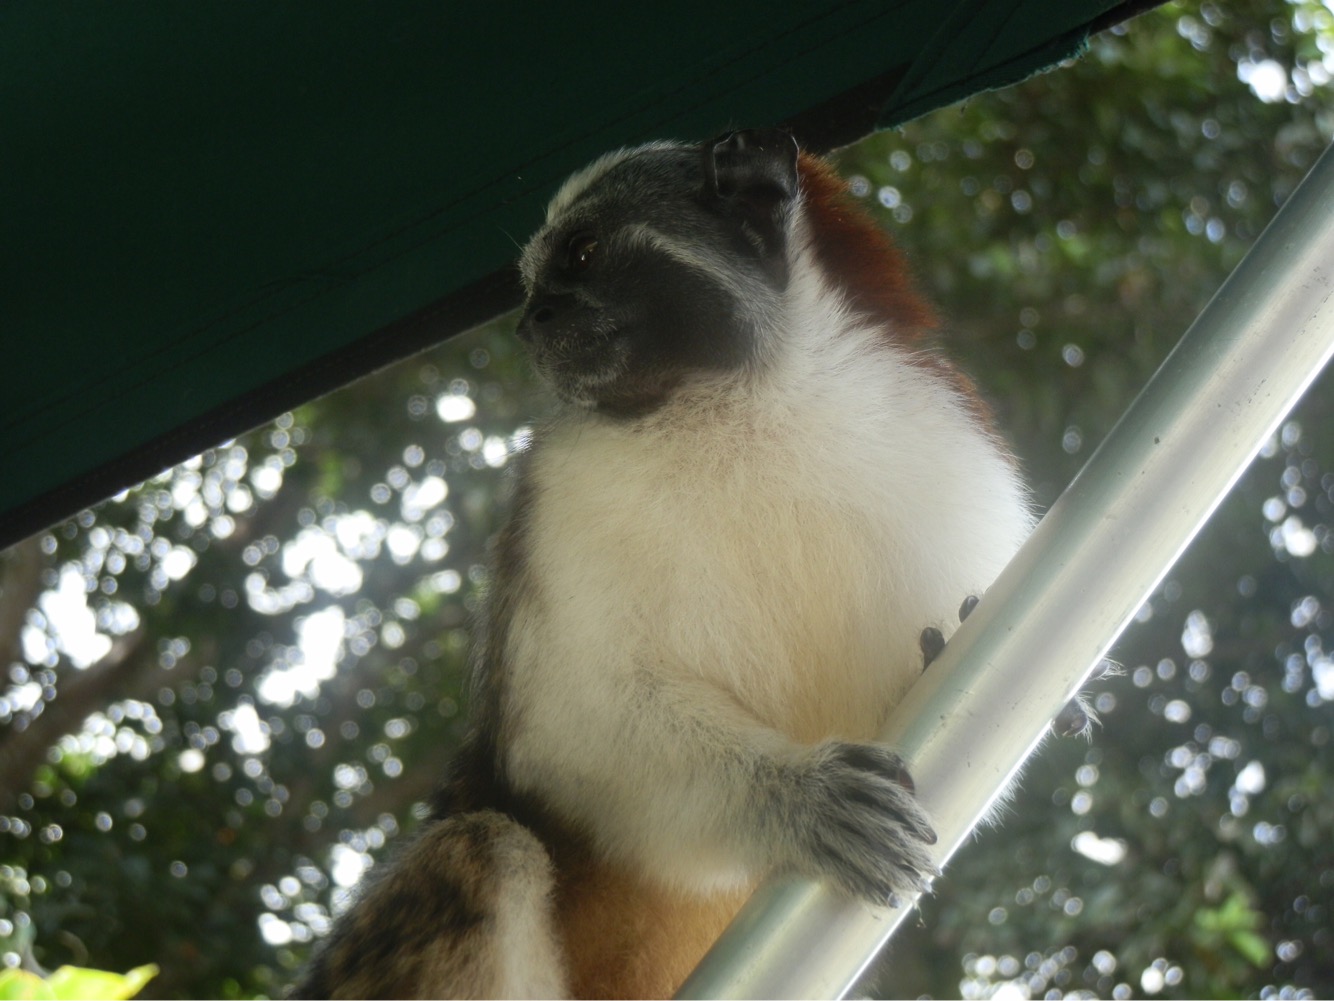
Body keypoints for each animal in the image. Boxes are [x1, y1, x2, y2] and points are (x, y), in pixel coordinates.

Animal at [294, 131, 1029, 1001]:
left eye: (581, 253)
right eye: (534, 288)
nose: (531, 322)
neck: (747, 408)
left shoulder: (946, 438)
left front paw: (953, 647)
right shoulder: (557, 500)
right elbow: (574, 722)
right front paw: (798, 799)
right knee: (476, 848)